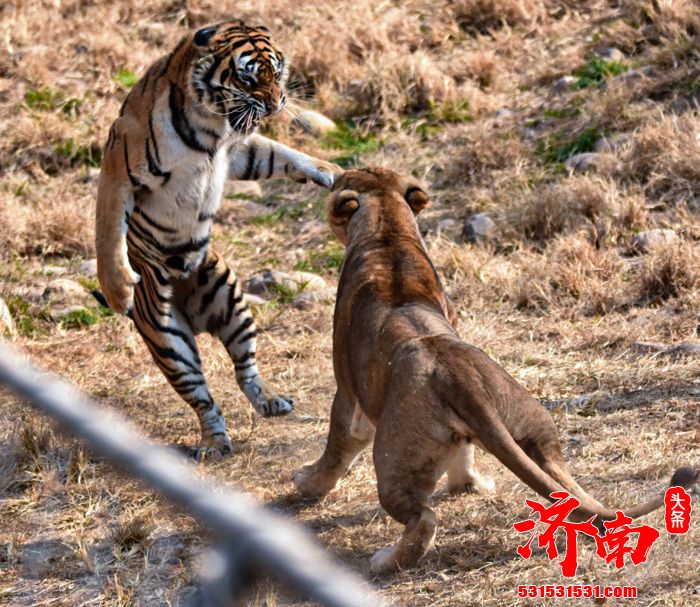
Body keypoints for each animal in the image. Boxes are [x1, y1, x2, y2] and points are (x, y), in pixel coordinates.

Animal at [95, 19, 342, 460]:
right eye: (248, 76)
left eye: (277, 71)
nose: (276, 104)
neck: (210, 126)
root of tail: (192, 315)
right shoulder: (119, 168)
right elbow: (108, 231)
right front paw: (118, 288)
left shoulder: (238, 149)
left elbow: (280, 153)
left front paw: (332, 170)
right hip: (167, 338)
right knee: (202, 397)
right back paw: (214, 443)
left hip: (230, 301)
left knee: (244, 369)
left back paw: (271, 401)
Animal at [292, 166, 696, 576]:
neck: (387, 232)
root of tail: (461, 378)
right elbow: (463, 454)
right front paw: (468, 485)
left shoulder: (348, 390)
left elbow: (339, 442)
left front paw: (306, 481)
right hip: (533, 427)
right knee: (565, 484)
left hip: (393, 460)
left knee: (423, 518)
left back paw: (385, 561)